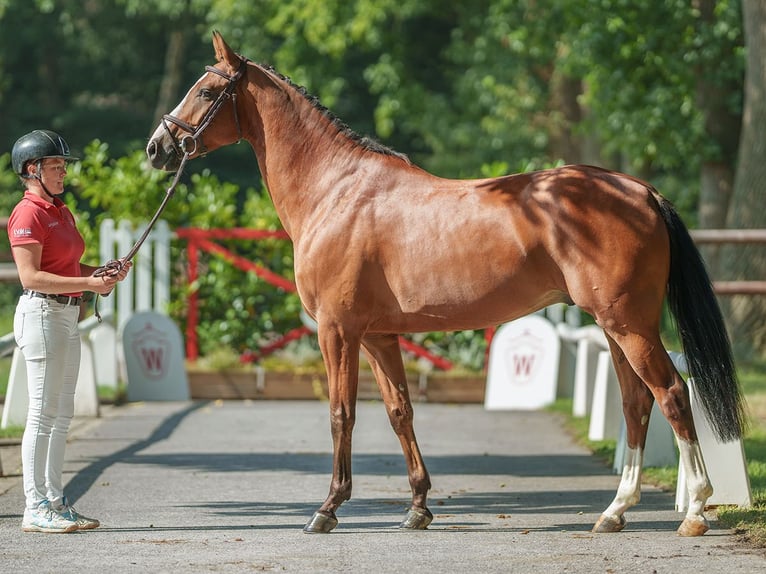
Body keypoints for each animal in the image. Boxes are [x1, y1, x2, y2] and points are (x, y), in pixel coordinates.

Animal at [147, 30, 748, 536]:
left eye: (206, 90)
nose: (157, 148)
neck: (335, 190)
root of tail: (641, 191)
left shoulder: (337, 332)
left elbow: (342, 414)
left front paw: (327, 509)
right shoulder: (378, 336)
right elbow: (399, 413)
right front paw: (418, 508)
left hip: (630, 325)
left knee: (671, 394)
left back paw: (695, 510)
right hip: (615, 326)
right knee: (635, 403)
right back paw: (614, 512)